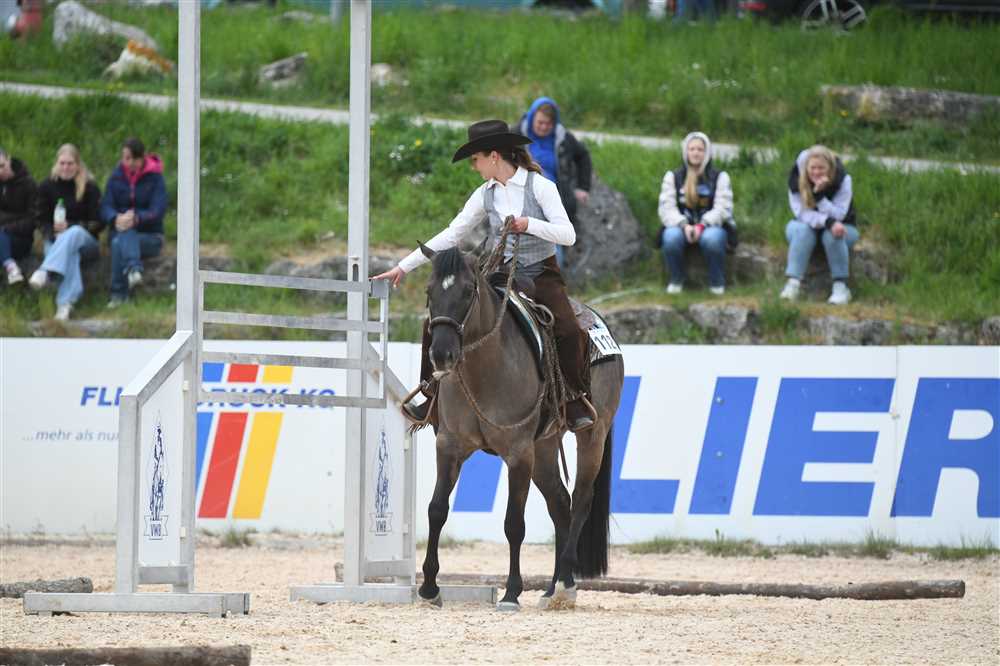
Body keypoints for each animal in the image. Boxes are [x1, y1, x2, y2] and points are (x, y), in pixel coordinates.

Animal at [416, 243, 624, 612]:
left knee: (581, 500)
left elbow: (514, 523)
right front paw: (429, 588)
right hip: (543, 449)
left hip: (591, 436)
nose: (441, 354)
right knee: (560, 504)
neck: (485, 368)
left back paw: (565, 585)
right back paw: (553, 587)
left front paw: (511, 592)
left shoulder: (517, 453)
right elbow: (437, 509)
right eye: (429, 292)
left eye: (467, 291)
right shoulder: (450, 446)